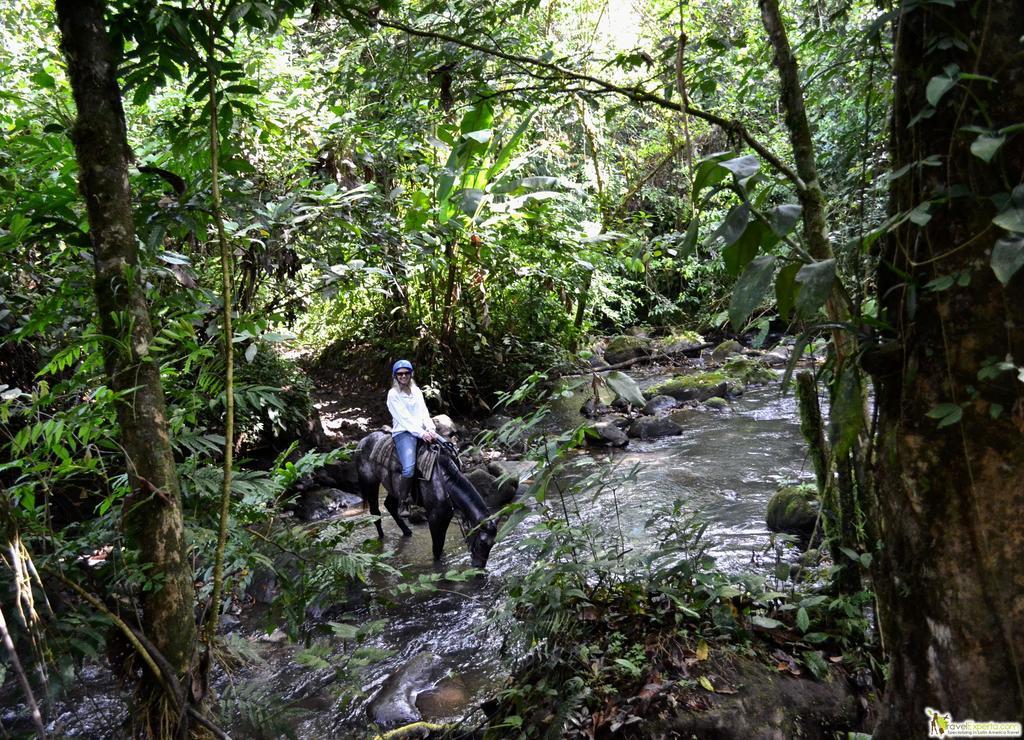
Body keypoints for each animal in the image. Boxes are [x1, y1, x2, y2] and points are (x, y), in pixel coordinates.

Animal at [354, 431, 497, 569]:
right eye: (482, 542)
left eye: (492, 544)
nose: (479, 566)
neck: (444, 481)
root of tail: (363, 441)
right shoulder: (433, 518)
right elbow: (437, 548)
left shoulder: (446, 516)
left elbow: (441, 543)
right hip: (370, 483)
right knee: (375, 513)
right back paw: (382, 539)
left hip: (393, 488)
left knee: (389, 505)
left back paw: (407, 532)